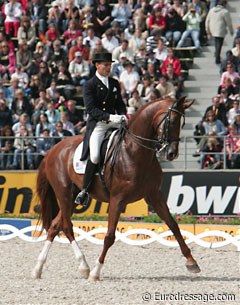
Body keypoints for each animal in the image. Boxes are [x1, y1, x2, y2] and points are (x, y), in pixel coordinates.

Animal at [32, 96, 200, 280]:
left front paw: (192, 262)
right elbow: (110, 236)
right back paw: (84, 267)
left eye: (183, 123)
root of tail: (52, 150)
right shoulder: (117, 199)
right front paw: (96, 272)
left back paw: (39, 268)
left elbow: (173, 225)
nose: (171, 154)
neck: (135, 151)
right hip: (64, 194)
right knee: (66, 226)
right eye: (173, 121)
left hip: (72, 199)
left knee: (55, 226)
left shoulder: (154, 195)